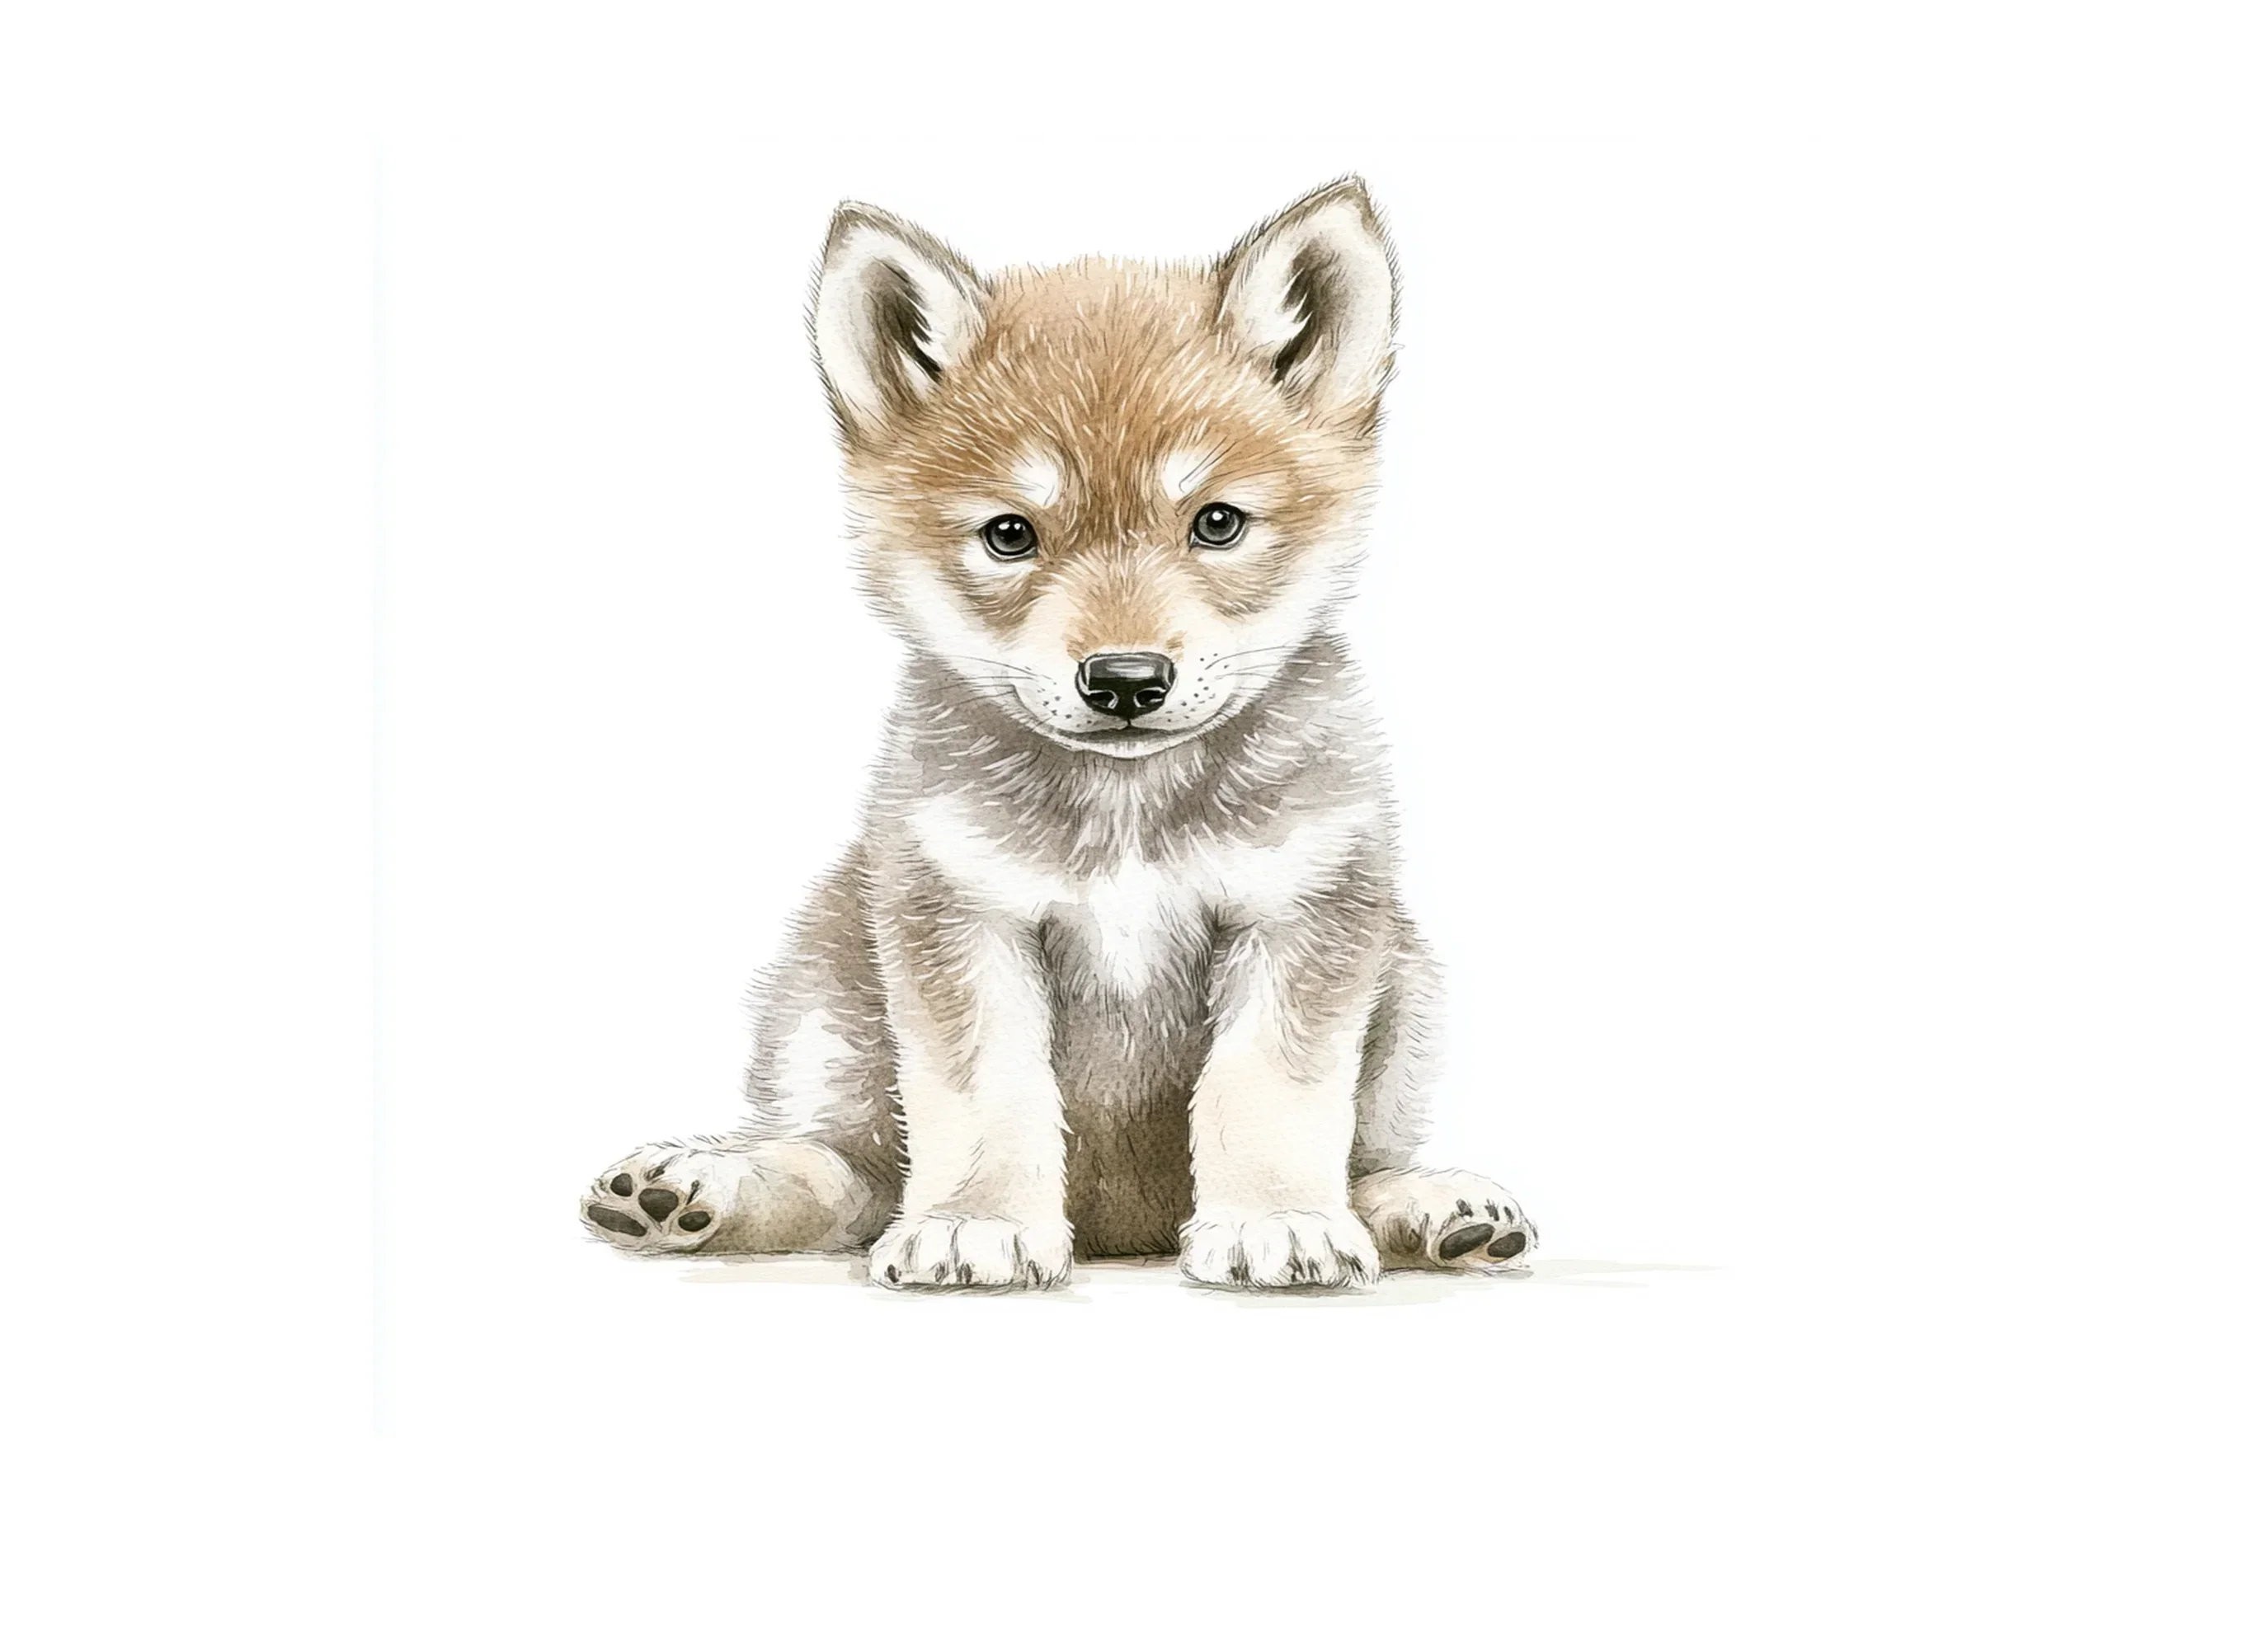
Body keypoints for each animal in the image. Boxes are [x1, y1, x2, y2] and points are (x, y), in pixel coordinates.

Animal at [579, 178, 1537, 1289]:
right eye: (1009, 534)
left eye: (1216, 523)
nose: (1125, 680)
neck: (1126, 809)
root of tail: (1127, 1228)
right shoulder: (961, 917)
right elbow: (982, 1097)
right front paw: (976, 1222)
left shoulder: (1301, 913)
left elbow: (1270, 1093)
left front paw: (1274, 1219)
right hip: (826, 989)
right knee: (845, 1175)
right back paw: (693, 1186)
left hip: (1408, 983)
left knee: (1368, 1156)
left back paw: (1433, 1207)